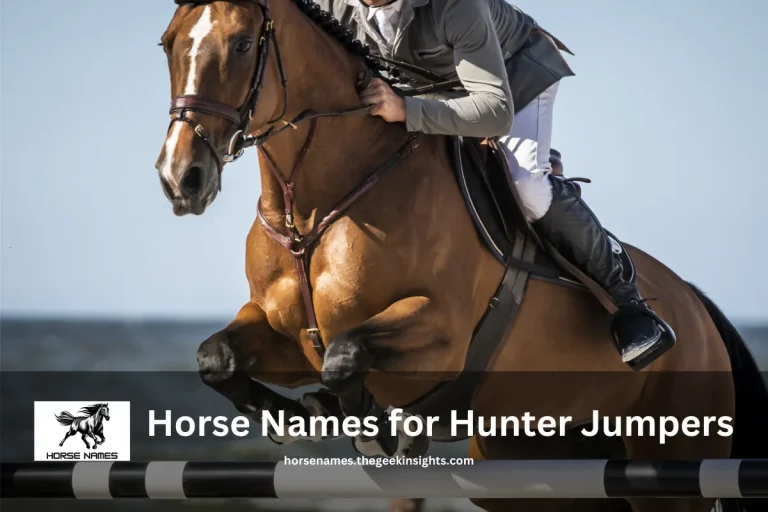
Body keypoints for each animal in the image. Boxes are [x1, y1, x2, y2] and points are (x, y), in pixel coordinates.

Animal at [153, 1, 768, 511]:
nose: (181, 178)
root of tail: (698, 309)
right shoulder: (286, 333)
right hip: (528, 470)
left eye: (242, 44)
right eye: (167, 43)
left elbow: (347, 354)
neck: (312, 210)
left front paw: (367, 425)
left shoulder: (439, 335)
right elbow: (217, 357)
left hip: (668, 465)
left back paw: (641, 327)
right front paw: (296, 419)